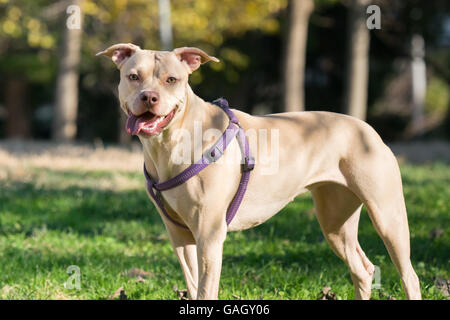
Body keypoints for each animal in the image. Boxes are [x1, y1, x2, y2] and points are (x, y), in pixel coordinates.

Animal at [96, 43, 422, 300]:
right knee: (362, 270)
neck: (170, 142)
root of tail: (366, 128)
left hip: (387, 217)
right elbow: (192, 285)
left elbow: (206, 290)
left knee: (409, 275)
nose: (149, 97)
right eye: (133, 76)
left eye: (171, 79)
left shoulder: (209, 235)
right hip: (335, 222)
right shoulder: (180, 236)